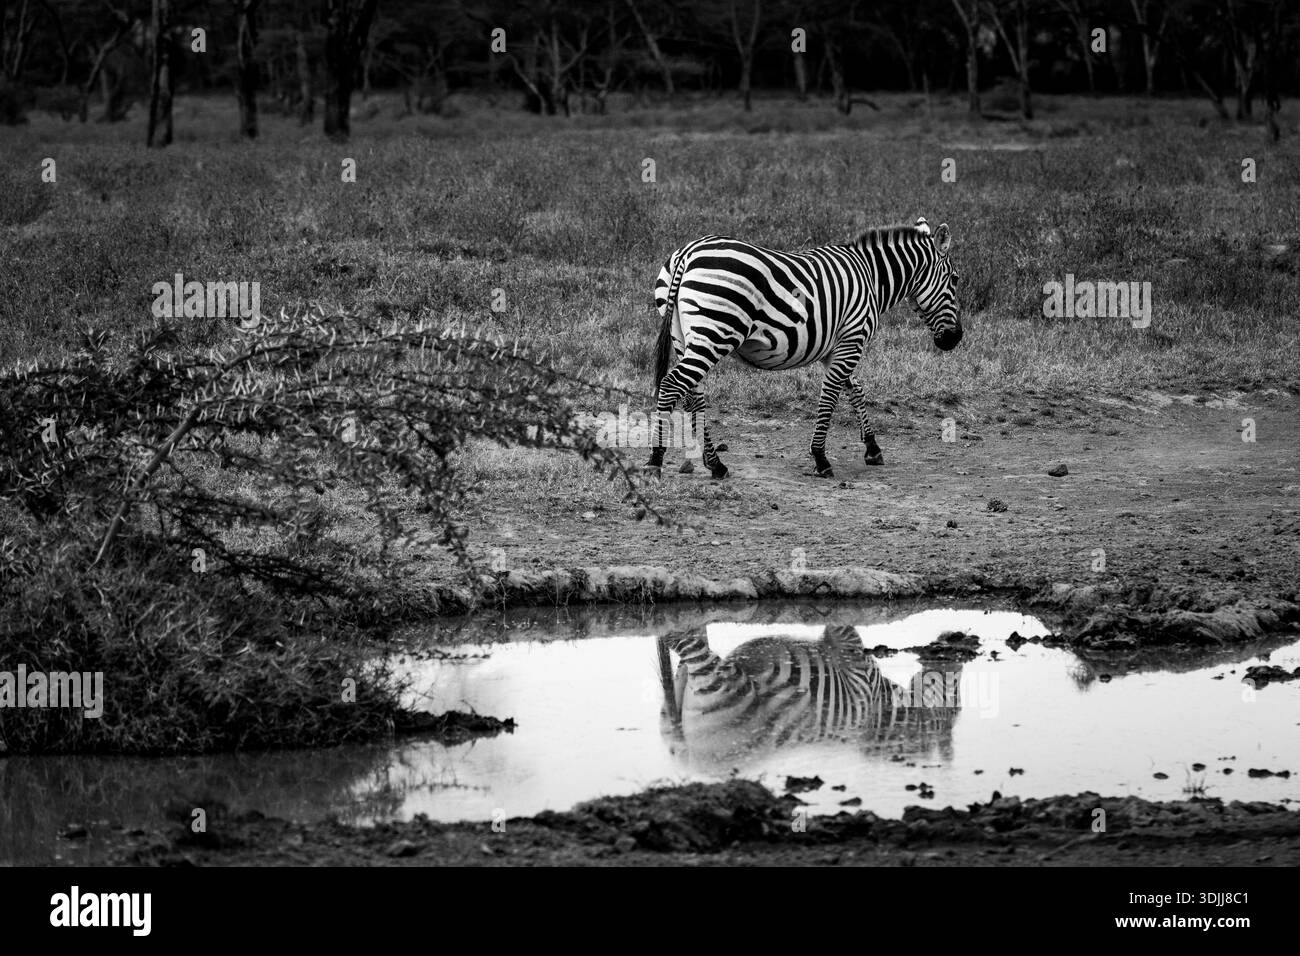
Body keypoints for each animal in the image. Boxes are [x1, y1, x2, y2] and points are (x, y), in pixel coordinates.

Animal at [647, 218, 963, 479]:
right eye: (955, 279)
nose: (955, 339)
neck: (871, 277)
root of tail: (689, 251)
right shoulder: (852, 339)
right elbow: (831, 396)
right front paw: (821, 458)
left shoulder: (837, 345)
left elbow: (855, 390)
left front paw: (872, 448)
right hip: (716, 333)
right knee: (672, 385)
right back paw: (655, 460)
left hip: (685, 337)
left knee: (693, 396)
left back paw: (715, 464)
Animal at [656, 624, 964, 771]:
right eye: (956, 698)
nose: (951, 635)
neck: (882, 708)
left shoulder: (854, 661)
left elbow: (841, 625)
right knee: (682, 642)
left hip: (720, 683)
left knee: (682, 642)